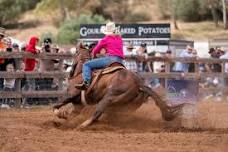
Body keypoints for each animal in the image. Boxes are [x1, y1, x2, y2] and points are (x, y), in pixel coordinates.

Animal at [52, 43, 183, 129]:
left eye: (75, 53)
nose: (69, 71)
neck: (81, 72)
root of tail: (139, 85)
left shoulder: (70, 95)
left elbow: (56, 106)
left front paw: (59, 116)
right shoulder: (78, 105)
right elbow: (70, 114)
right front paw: (62, 120)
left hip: (108, 99)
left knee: (97, 114)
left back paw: (81, 126)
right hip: (125, 107)